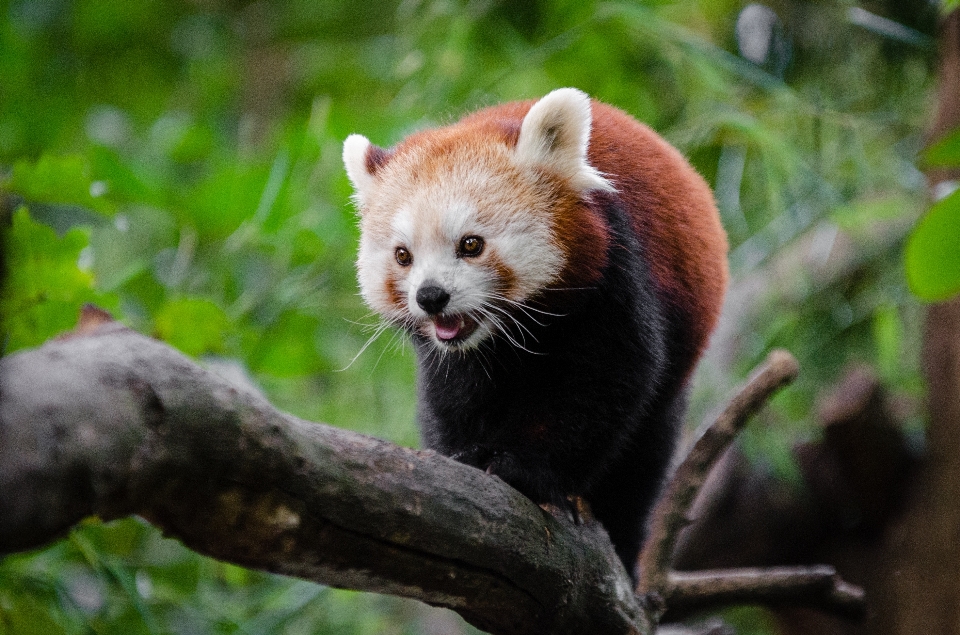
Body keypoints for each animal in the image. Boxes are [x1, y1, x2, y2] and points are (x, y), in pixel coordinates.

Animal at [342, 88, 724, 580]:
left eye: (471, 244)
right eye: (403, 255)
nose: (431, 297)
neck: (502, 336)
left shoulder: (613, 274)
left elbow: (604, 381)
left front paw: (524, 469)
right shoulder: (450, 357)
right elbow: (452, 400)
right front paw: (467, 455)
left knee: (640, 466)